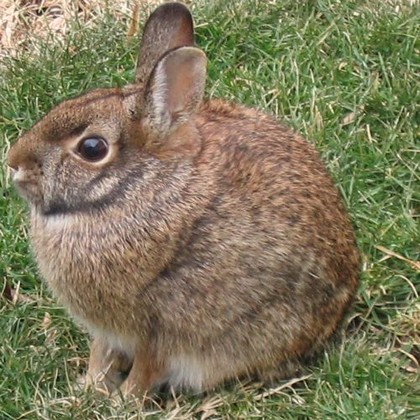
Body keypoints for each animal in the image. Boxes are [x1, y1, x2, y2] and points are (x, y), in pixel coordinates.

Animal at [6, 2, 360, 398]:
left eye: (92, 148)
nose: (15, 164)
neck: (137, 189)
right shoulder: (110, 332)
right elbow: (103, 354)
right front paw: (88, 389)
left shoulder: (162, 328)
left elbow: (147, 368)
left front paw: (122, 401)